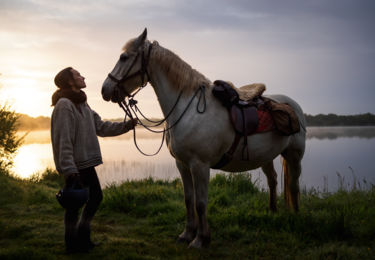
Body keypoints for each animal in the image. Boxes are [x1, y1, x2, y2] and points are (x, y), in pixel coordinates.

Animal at [101, 27, 306, 248]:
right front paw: (187, 234)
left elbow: (200, 203)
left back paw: (295, 216)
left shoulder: (200, 165)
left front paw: (201, 239)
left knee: (293, 185)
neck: (188, 109)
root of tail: (292, 105)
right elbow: (188, 200)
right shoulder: (182, 164)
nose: (105, 89)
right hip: (266, 157)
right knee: (273, 180)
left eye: (124, 57)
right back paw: (272, 211)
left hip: (294, 155)